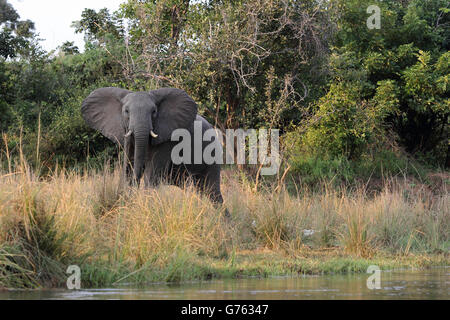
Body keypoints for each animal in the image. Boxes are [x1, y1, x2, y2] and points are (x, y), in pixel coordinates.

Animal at [81, 87, 225, 206]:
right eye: (126, 111)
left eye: (154, 111)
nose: (133, 196)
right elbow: (128, 168)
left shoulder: (167, 139)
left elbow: (151, 176)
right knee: (201, 191)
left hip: (213, 154)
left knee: (213, 192)